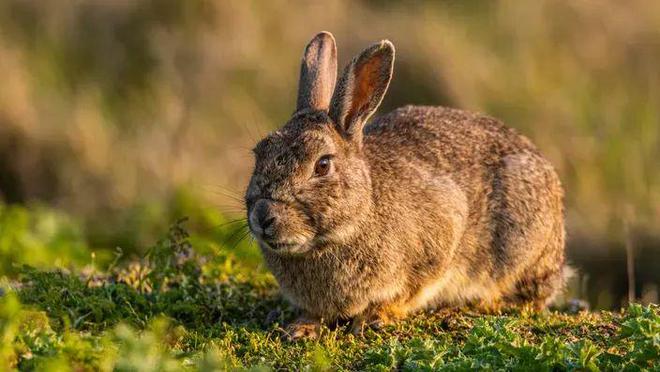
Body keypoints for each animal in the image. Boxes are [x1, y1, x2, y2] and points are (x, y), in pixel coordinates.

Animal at [245, 32, 564, 340]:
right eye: (259, 153)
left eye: (322, 165)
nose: (263, 216)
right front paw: (301, 327)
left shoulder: (441, 234)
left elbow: (409, 291)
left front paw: (374, 317)